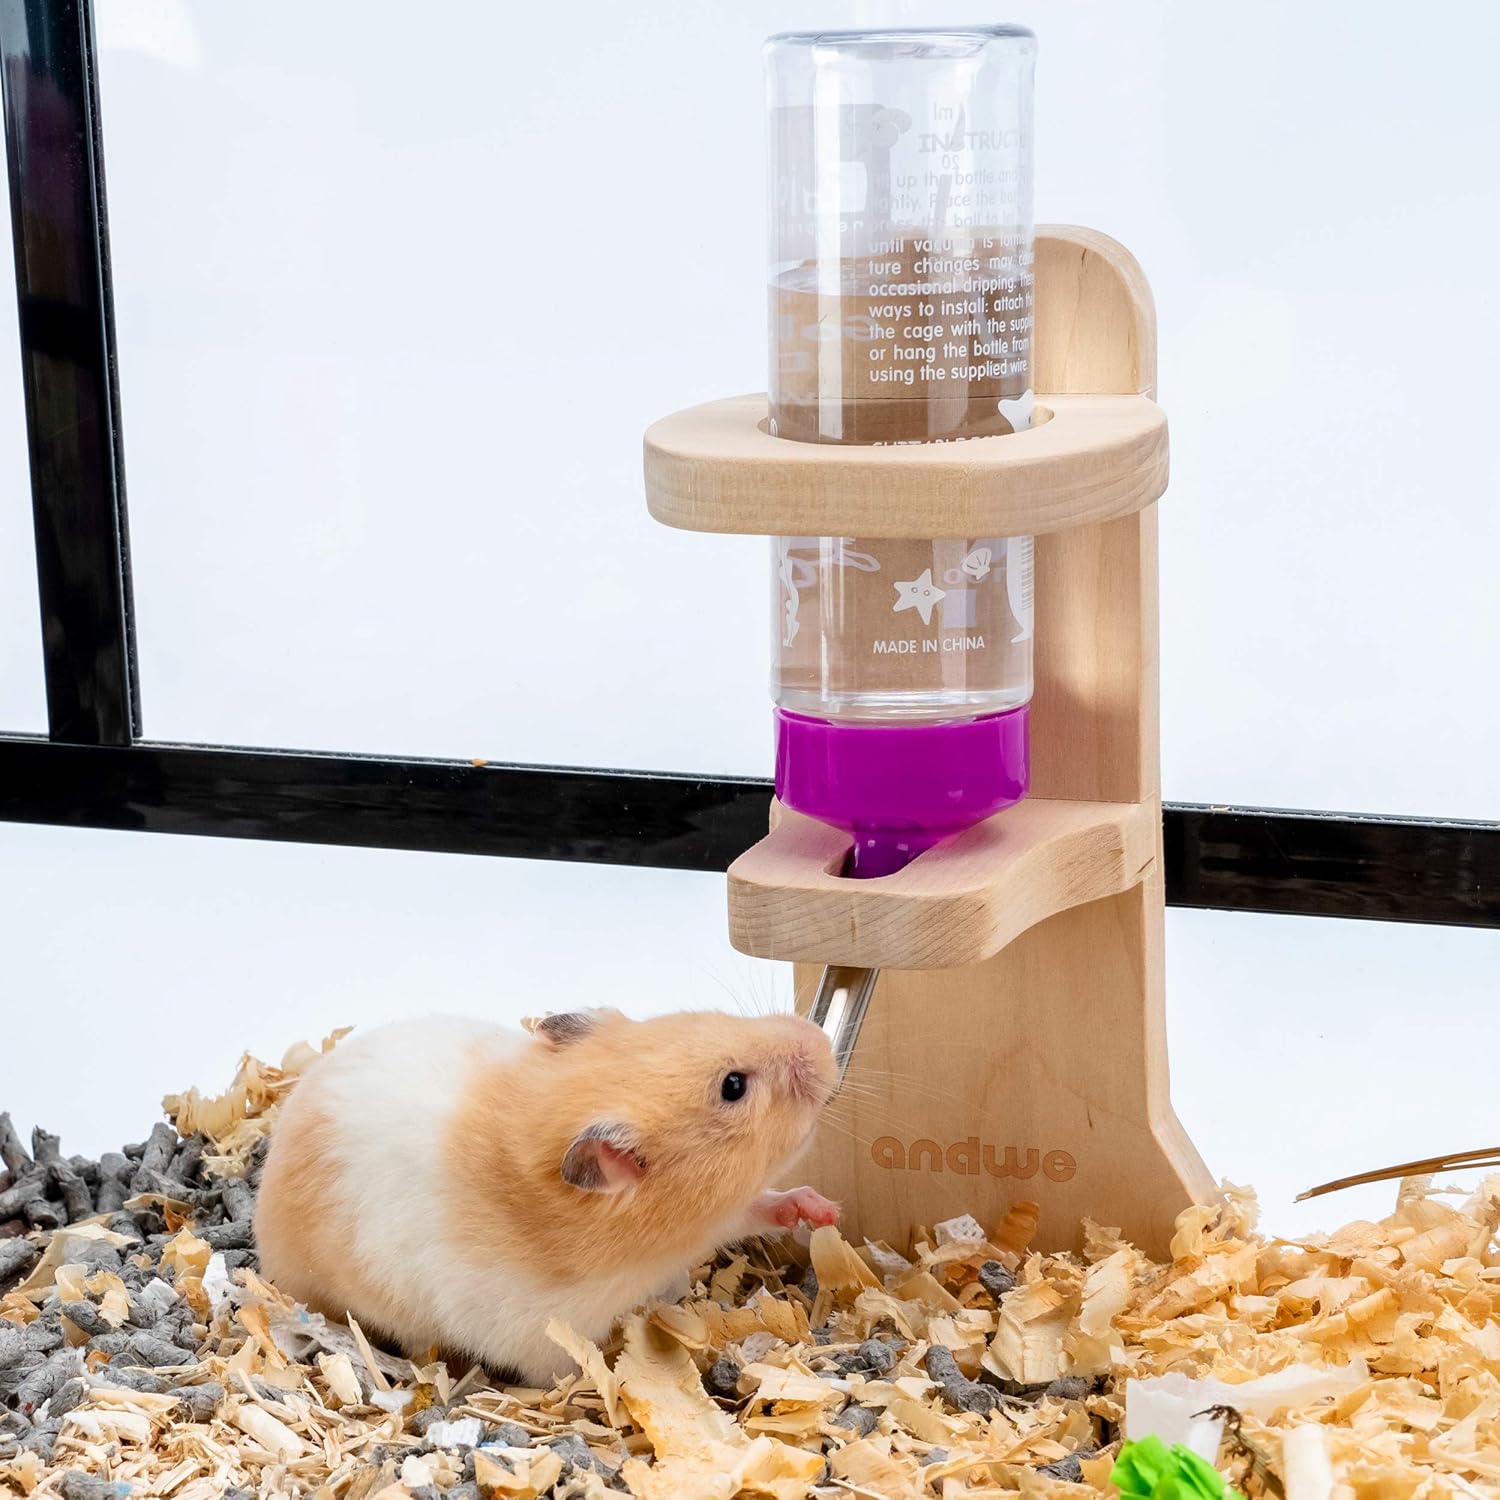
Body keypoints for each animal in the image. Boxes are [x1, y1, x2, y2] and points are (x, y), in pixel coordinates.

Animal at [253, 1008, 839, 1384]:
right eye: (733, 1087)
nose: (822, 1040)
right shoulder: (539, 1337)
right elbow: (566, 1371)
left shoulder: (720, 1213)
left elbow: (761, 1205)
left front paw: (824, 1210)